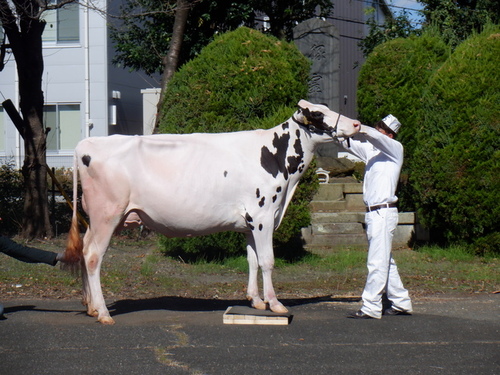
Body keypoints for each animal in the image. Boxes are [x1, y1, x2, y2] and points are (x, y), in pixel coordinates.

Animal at [63, 99, 360, 324]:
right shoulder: (263, 216)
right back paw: (103, 313)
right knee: (93, 256)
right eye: (318, 114)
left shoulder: (250, 222)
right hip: (107, 215)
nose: (356, 124)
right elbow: (267, 260)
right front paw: (275, 303)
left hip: (95, 219)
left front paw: (255, 300)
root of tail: (87, 145)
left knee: (84, 250)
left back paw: (91, 306)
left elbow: (252, 260)